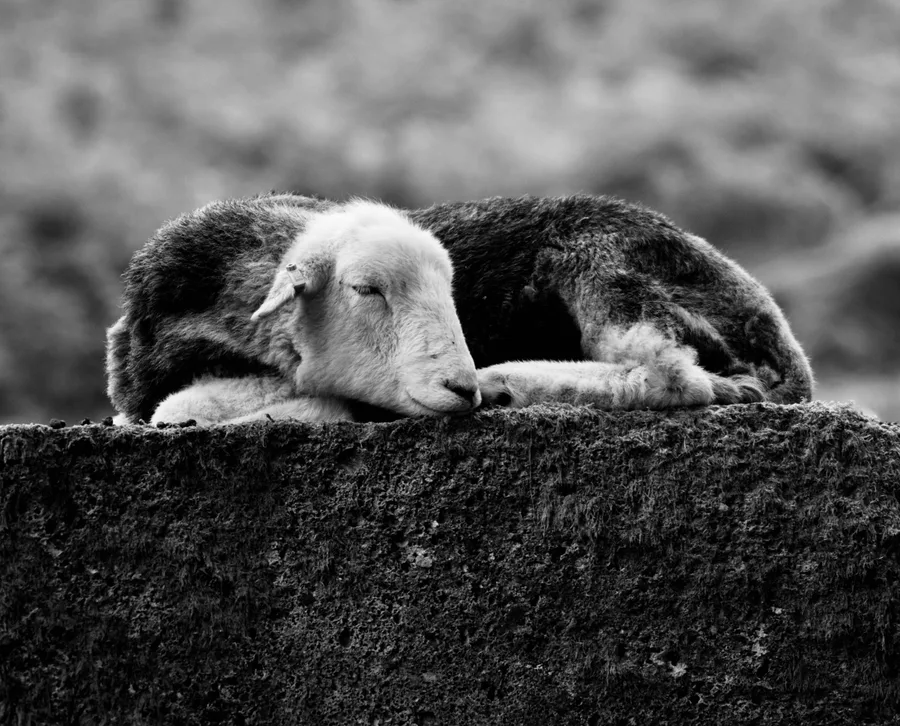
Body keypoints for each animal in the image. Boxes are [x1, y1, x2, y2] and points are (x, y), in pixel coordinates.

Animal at [106, 192, 813, 425]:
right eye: (365, 290)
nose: (459, 383)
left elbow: (181, 410)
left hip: (601, 260)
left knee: (674, 373)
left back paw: (508, 382)